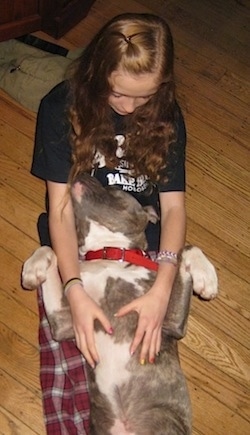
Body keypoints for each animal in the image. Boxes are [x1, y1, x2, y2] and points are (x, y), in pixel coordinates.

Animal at [22, 174, 218, 435]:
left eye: (114, 189)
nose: (80, 173)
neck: (110, 252)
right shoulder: (66, 322)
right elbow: (49, 249)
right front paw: (33, 267)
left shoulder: (168, 322)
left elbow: (185, 248)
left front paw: (206, 276)